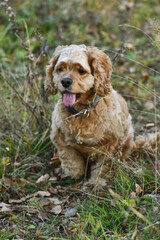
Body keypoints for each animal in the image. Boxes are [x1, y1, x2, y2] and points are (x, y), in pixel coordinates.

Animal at [44, 44, 134, 181]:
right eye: (60, 69)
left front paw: (96, 181)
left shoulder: (111, 143)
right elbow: (70, 158)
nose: (65, 81)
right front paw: (76, 172)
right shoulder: (59, 138)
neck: (81, 112)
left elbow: (102, 166)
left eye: (81, 71)